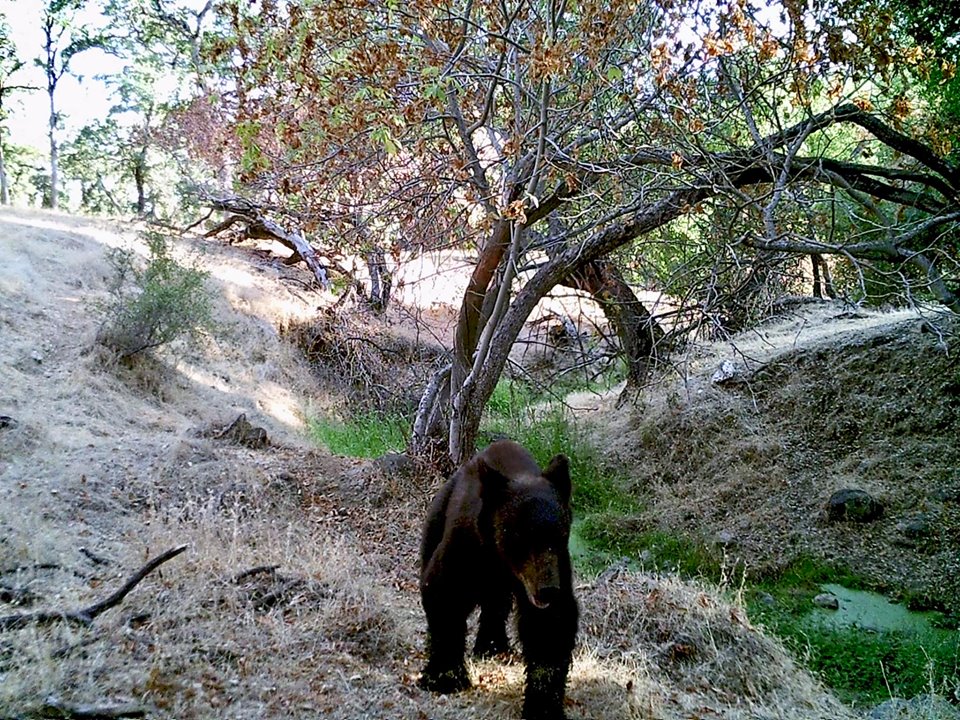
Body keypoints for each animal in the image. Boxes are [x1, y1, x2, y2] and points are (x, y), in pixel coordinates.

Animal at [418, 438, 576, 720]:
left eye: (558, 534)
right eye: (523, 537)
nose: (547, 590)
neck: (501, 557)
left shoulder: (559, 565)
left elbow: (550, 626)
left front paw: (543, 706)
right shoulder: (464, 546)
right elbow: (444, 593)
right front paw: (445, 677)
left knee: (496, 605)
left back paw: (493, 646)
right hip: (436, 519)